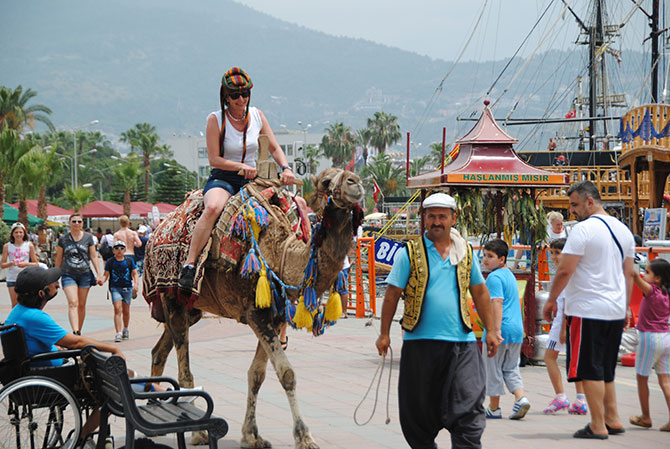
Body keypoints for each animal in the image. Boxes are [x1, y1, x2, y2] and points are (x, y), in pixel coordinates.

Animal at [145, 169, 368, 448]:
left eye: (352, 175)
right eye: (327, 181)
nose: (355, 182)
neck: (283, 256)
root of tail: (156, 234)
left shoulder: (276, 317)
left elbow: (257, 374)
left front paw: (252, 435)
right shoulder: (256, 315)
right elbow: (286, 373)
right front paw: (305, 437)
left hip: (190, 309)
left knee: (158, 352)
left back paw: (155, 414)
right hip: (173, 297)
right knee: (184, 369)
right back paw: (197, 433)